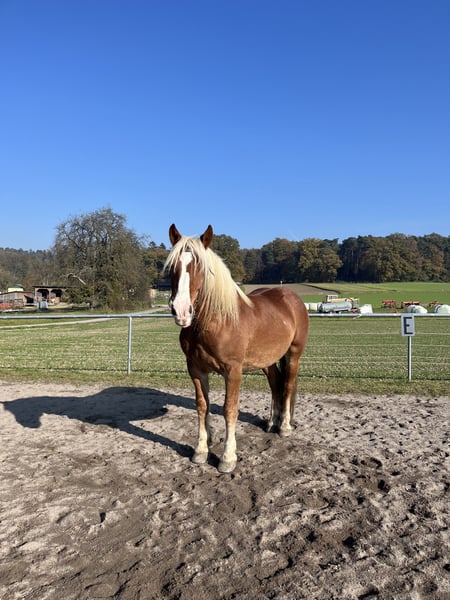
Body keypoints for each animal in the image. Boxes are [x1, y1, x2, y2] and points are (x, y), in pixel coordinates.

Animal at [164, 224, 309, 473]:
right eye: (173, 267)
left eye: (201, 267)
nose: (181, 311)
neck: (216, 321)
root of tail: (292, 299)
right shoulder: (195, 369)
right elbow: (202, 406)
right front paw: (200, 450)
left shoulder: (233, 371)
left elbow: (229, 409)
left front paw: (227, 458)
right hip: (267, 360)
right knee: (275, 384)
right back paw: (272, 422)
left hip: (293, 354)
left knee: (288, 386)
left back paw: (284, 427)